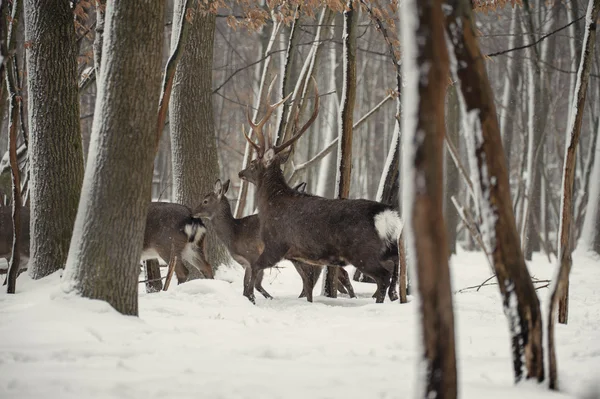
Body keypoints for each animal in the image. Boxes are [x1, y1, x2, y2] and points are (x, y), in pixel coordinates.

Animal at [193, 180, 356, 302]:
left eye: (205, 201)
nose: (194, 212)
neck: (234, 234)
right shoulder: (246, 263)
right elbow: (248, 286)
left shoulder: (253, 256)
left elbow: (252, 285)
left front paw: (255, 299)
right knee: (313, 277)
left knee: (312, 277)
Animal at [239, 80, 404, 306]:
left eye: (253, 163)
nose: (240, 173)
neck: (271, 204)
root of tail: (387, 216)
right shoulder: (299, 255)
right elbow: (307, 285)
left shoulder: (277, 245)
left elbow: (255, 268)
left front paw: (250, 298)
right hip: (390, 247)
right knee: (395, 270)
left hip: (363, 252)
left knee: (383, 277)